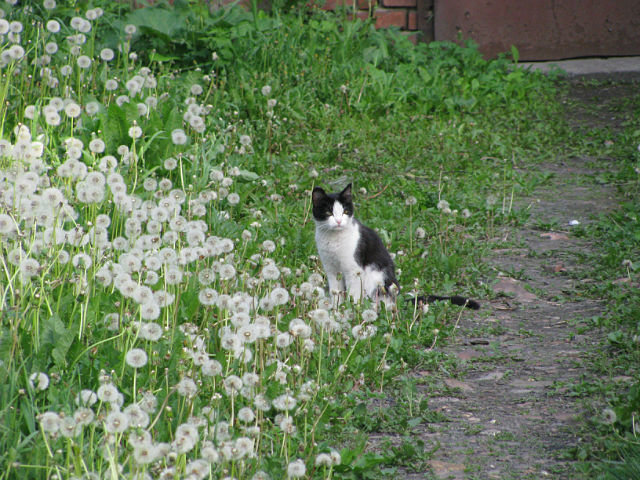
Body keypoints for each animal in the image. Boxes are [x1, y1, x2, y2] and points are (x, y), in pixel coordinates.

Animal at [310, 184, 480, 312]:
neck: (334, 241)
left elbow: (353, 294)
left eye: (345, 211)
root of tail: (398, 297)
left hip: (376, 279)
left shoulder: (353, 270)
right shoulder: (332, 270)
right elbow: (336, 293)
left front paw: (350, 312)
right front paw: (336, 311)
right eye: (329, 212)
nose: (339, 221)